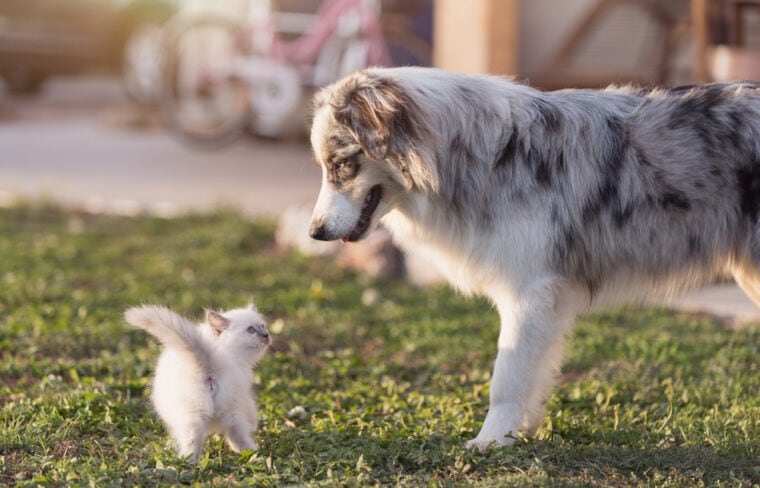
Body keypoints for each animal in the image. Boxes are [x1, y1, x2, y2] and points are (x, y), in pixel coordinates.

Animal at [127, 304, 274, 460]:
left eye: (263, 326)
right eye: (251, 329)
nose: (266, 335)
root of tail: (207, 364)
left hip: (200, 413)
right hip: (227, 409)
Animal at [306, 67, 760, 450]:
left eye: (341, 165)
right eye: (324, 167)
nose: (315, 233)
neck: (483, 158)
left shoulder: (529, 291)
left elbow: (506, 377)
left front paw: (491, 441)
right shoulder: (547, 301)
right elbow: (533, 373)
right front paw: (519, 433)